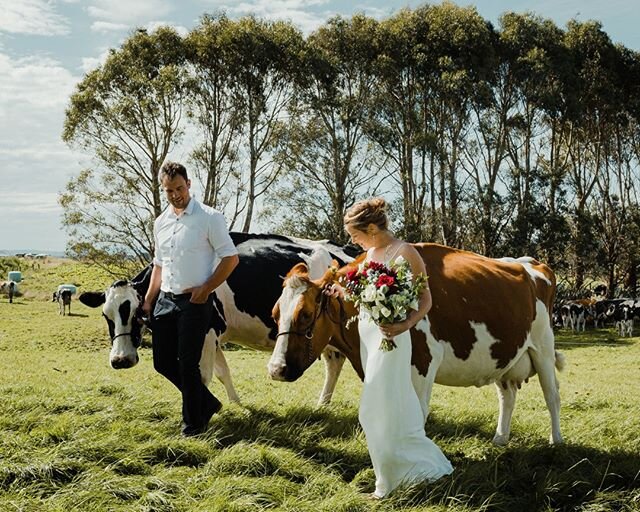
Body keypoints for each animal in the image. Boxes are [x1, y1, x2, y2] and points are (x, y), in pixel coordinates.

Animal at [77, 234, 358, 406]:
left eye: (135, 313)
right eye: (106, 315)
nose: (120, 360)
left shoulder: (206, 332)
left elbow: (201, 375)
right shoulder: (215, 335)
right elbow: (223, 373)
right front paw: (236, 405)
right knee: (334, 362)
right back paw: (322, 405)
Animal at [268, 244, 568, 444]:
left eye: (305, 314)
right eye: (275, 314)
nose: (275, 369)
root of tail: (531, 263)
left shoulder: (424, 361)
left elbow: (416, 415)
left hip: (542, 348)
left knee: (552, 396)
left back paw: (556, 441)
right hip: (504, 354)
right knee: (507, 395)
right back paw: (500, 438)